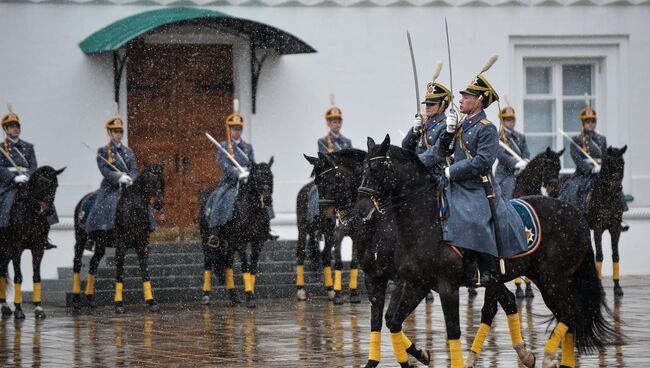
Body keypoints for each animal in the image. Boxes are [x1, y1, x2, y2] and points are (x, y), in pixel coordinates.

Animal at [0, 167, 64, 320]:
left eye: (55, 186)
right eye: (40, 185)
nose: (48, 210)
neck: (31, 214)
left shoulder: (38, 248)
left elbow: (37, 276)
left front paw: (38, 308)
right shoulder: (16, 249)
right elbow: (18, 277)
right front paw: (18, 309)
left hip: (6, 252)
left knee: (2, 271)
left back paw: (5, 306)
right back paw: (5, 306)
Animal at [70, 164, 165, 314]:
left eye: (161, 182)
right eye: (149, 182)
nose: (158, 204)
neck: (133, 211)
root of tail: (83, 199)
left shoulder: (142, 245)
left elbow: (145, 272)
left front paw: (151, 302)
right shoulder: (121, 246)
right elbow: (120, 273)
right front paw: (119, 304)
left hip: (100, 244)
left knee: (93, 263)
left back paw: (90, 299)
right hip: (81, 239)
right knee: (77, 264)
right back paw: (75, 301)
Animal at [200, 157, 276, 308]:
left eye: (271, 176)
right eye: (256, 178)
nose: (267, 200)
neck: (252, 210)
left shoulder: (258, 242)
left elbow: (253, 268)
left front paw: (251, 294)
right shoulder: (241, 242)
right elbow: (245, 267)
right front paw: (249, 296)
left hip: (230, 243)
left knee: (227, 264)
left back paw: (233, 297)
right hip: (207, 240)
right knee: (208, 263)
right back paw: (206, 295)